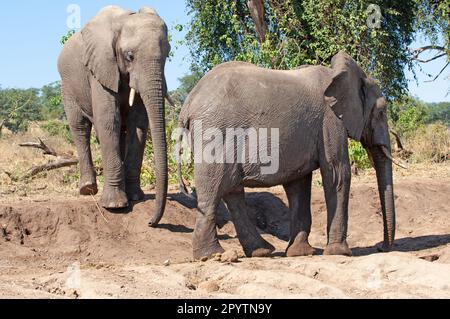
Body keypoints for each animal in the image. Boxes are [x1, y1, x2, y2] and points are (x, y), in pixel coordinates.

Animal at [59, 4, 171, 225]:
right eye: (129, 56)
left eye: (167, 54)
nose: (151, 222)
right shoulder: (100, 67)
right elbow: (108, 120)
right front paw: (115, 206)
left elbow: (139, 123)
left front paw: (136, 197)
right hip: (67, 85)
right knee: (80, 127)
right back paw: (87, 189)